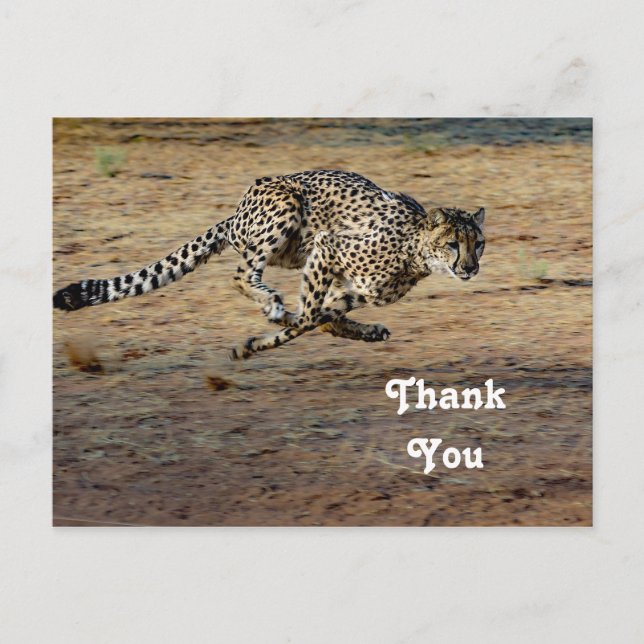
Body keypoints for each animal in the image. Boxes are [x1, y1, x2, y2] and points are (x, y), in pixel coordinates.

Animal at [53, 170, 486, 360]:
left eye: (478, 244)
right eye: (452, 244)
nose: (470, 268)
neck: (415, 251)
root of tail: (236, 211)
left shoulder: (356, 290)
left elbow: (321, 318)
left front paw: (257, 342)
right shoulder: (328, 247)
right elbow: (309, 316)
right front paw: (261, 337)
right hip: (286, 208)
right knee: (242, 274)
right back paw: (272, 304)